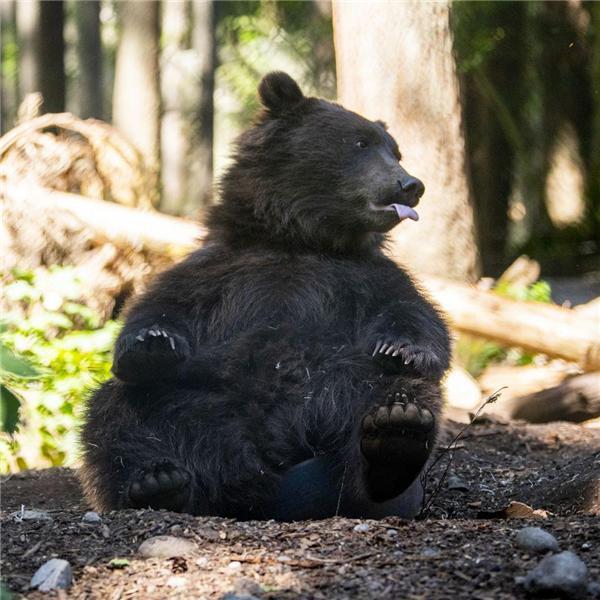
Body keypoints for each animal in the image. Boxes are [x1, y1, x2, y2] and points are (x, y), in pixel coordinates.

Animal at [78, 71, 450, 520]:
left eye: (395, 150)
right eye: (360, 143)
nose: (411, 184)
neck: (296, 240)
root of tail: (267, 465)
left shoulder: (360, 278)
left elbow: (414, 316)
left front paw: (401, 349)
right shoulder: (219, 273)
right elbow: (159, 312)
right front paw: (152, 344)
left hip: (338, 392)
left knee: (395, 391)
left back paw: (396, 437)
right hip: (197, 400)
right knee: (118, 414)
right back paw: (158, 482)